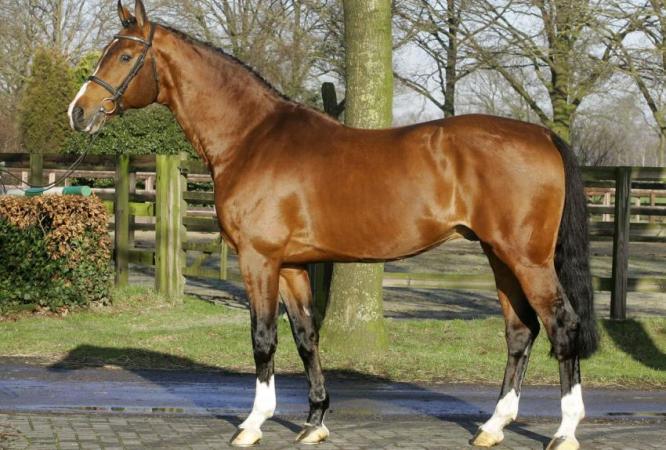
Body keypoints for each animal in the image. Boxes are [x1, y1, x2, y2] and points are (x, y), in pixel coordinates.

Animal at [68, 2, 598, 449]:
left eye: (126, 55)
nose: (79, 111)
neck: (251, 138)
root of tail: (542, 135)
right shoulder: (292, 266)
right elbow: (306, 338)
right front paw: (314, 422)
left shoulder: (259, 259)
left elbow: (263, 339)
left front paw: (253, 424)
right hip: (500, 256)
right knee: (520, 332)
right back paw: (492, 426)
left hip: (527, 259)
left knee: (562, 326)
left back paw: (564, 431)